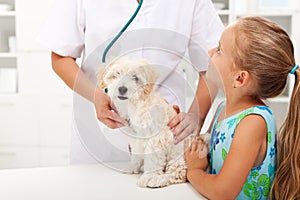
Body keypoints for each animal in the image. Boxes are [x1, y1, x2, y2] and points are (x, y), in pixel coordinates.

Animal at [97, 57, 186, 188]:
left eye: (135, 77)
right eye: (116, 74)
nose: (122, 89)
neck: (136, 105)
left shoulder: (156, 138)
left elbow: (153, 160)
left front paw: (148, 177)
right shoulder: (135, 137)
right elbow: (136, 154)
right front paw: (132, 167)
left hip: (177, 156)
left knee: (178, 173)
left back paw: (158, 180)